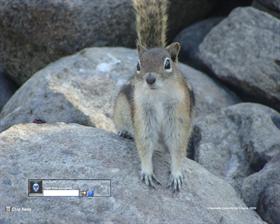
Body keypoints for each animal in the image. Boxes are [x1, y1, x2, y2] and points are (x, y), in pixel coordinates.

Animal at [112, 0, 194, 192]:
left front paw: (176, 174)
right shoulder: (144, 113)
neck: (159, 96)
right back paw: (124, 132)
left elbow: (177, 145)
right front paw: (147, 172)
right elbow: (145, 141)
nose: (150, 79)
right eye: (138, 65)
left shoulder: (177, 114)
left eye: (167, 64)